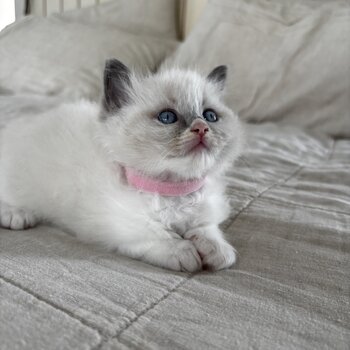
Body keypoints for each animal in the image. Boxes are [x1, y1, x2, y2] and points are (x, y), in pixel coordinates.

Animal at [0, 60, 243, 272]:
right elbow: (158, 234)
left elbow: (207, 230)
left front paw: (217, 251)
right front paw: (184, 252)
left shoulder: (205, 212)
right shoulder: (119, 225)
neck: (174, 191)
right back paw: (17, 215)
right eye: (167, 117)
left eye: (210, 116)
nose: (201, 128)